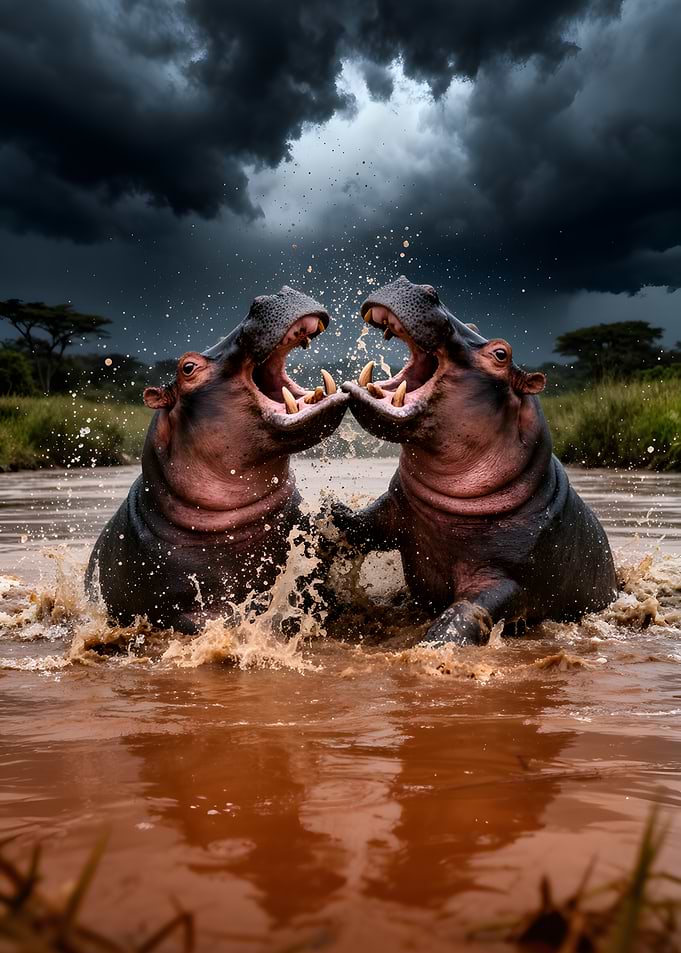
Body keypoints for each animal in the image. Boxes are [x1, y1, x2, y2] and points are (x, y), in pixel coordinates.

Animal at [333, 276, 617, 647]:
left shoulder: (504, 576)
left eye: (501, 353)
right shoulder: (397, 508)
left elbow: (465, 615)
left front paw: (431, 647)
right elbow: (363, 523)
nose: (423, 286)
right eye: (473, 326)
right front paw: (332, 515)